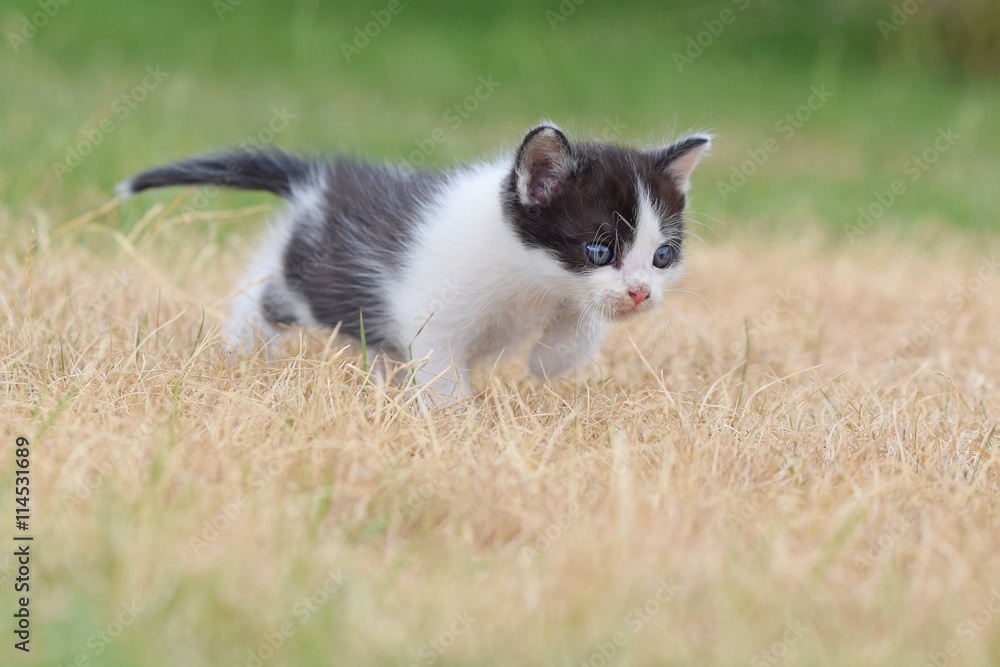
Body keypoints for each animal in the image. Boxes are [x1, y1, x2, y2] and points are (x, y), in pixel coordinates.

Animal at [119, 125, 712, 404]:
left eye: (662, 255)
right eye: (599, 250)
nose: (641, 292)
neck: (531, 279)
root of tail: (322, 176)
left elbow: (584, 324)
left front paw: (551, 359)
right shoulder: (433, 311)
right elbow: (441, 368)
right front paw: (456, 425)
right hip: (315, 278)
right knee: (262, 292)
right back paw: (244, 351)